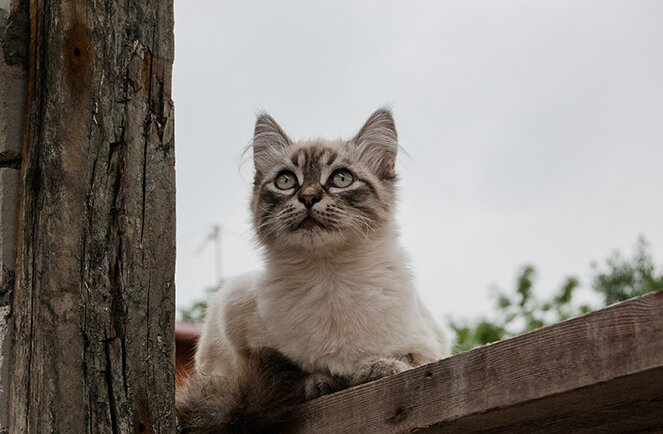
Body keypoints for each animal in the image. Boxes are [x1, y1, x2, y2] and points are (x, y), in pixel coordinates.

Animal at [175, 109, 452, 434]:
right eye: (285, 181)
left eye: (341, 179)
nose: (307, 197)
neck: (328, 276)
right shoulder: (230, 326)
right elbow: (297, 369)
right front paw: (319, 382)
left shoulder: (433, 348)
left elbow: (405, 360)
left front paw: (374, 368)